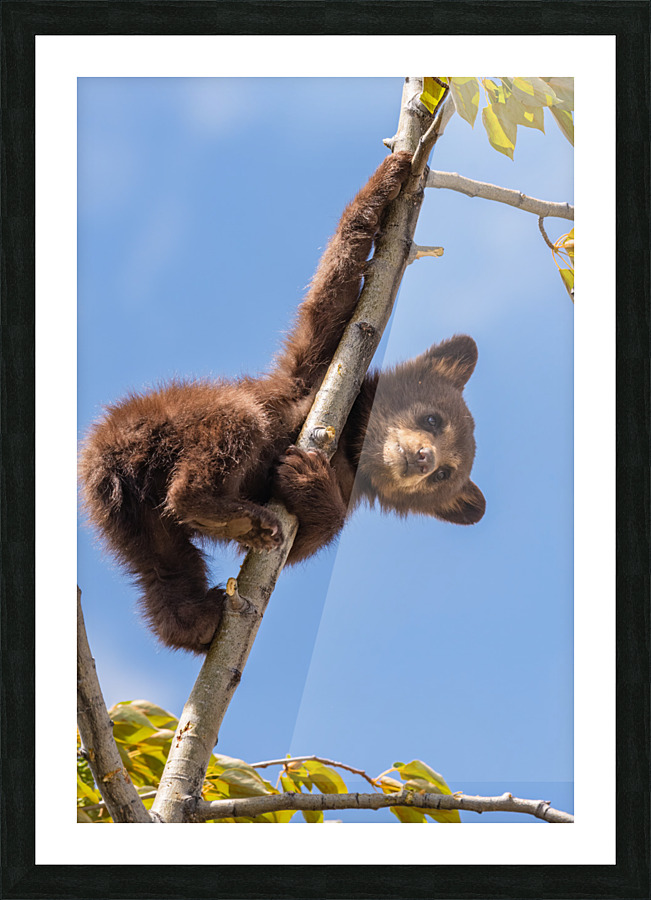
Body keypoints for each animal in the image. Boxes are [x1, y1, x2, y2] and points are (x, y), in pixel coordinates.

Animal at [80, 151, 485, 654]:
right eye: (433, 418)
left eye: (446, 475)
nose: (425, 458)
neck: (352, 444)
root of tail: (104, 456)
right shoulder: (319, 372)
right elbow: (333, 295)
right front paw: (390, 176)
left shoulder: (350, 485)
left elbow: (301, 545)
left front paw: (306, 480)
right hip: (162, 422)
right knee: (237, 421)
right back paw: (217, 508)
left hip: (131, 520)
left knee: (163, 566)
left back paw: (200, 612)